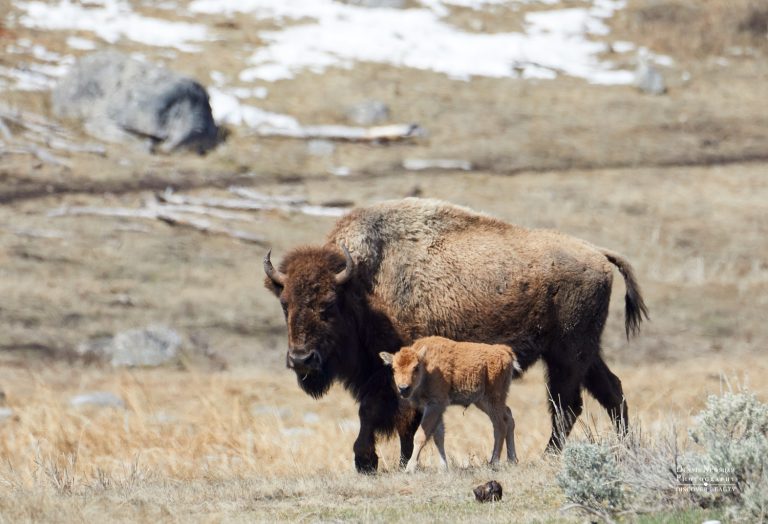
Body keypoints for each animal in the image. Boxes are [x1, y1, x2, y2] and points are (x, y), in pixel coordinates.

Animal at [380, 336, 523, 472]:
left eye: (415, 367)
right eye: (394, 368)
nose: (403, 388)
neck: (427, 367)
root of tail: (503, 350)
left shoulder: (435, 405)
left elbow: (421, 435)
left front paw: (410, 468)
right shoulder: (434, 408)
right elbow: (438, 436)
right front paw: (444, 467)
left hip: (493, 400)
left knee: (500, 426)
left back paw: (494, 462)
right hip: (483, 401)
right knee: (509, 417)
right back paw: (512, 460)